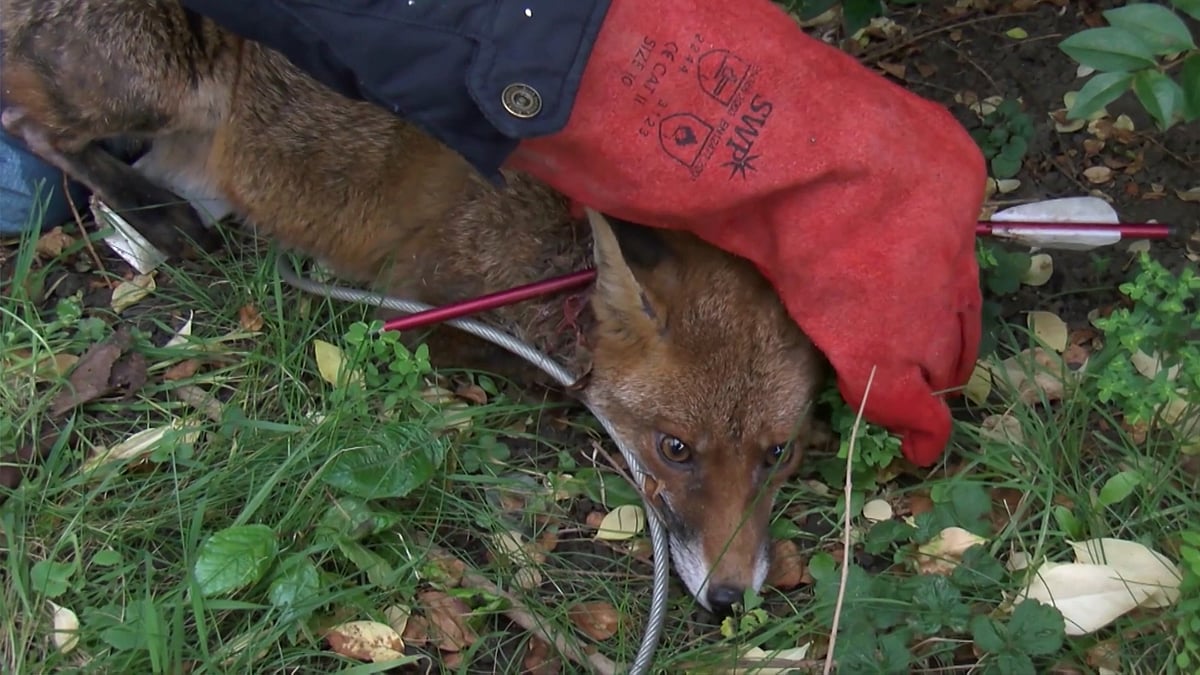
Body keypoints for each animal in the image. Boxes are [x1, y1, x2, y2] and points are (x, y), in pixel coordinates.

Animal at [0, 0, 827, 615]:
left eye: (776, 454)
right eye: (674, 448)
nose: (730, 598)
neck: (550, 254)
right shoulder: (429, 309)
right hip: (158, 79)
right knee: (27, 122)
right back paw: (145, 205)